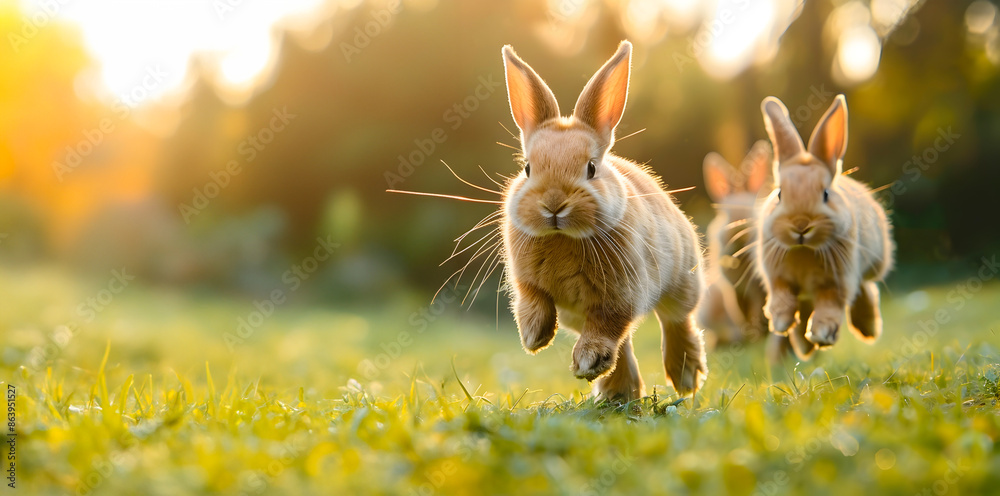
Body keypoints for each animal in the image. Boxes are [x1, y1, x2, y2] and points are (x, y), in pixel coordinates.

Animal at [500, 41, 706, 402]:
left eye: (591, 168)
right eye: (527, 168)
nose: (554, 204)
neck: (563, 238)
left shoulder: (619, 295)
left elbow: (607, 325)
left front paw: (585, 362)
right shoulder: (528, 283)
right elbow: (534, 301)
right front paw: (534, 337)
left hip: (684, 280)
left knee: (676, 321)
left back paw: (685, 378)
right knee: (627, 345)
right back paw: (616, 394)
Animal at [755, 94, 894, 360]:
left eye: (826, 194)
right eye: (779, 194)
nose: (801, 225)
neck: (804, 250)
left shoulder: (837, 281)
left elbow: (830, 307)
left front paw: (821, 334)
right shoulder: (777, 278)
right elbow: (782, 298)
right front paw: (779, 322)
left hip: (869, 267)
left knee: (866, 289)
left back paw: (867, 330)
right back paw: (804, 347)